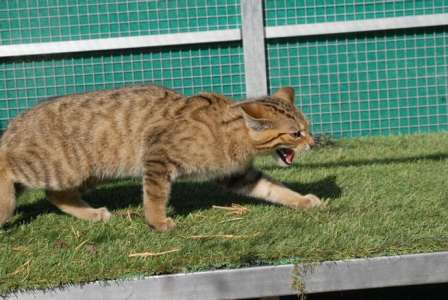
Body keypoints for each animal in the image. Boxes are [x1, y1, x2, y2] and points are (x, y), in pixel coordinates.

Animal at [0, 85, 322, 231]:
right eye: (295, 133)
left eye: (306, 128)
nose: (312, 142)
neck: (233, 133)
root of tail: (16, 124)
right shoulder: (157, 157)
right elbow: (154, 195)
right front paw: (157, 221)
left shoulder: (238, 174)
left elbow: (273, 189)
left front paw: (303, 200)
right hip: (58, 166)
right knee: (6, 163)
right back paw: (5, 206)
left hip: (87, 174)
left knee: (56, 195)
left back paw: (92, 214)